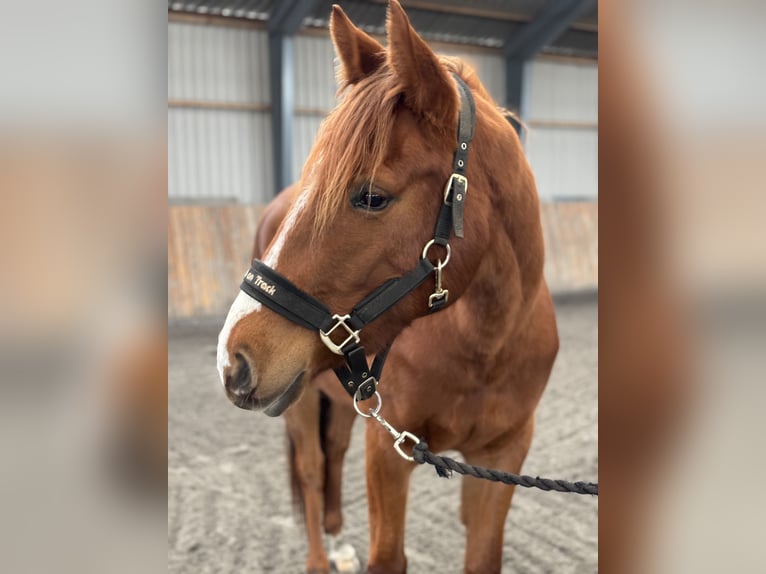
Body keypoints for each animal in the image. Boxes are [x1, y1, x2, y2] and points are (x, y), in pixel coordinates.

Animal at [217, 2, 559, 572]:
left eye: (372, 197)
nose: (233, 359)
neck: (485, 344)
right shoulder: (390, 454)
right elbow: (387, 555)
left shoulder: (501, 460)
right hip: (302, 403)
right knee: (311, 469)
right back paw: (320, 557)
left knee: (333, 454)